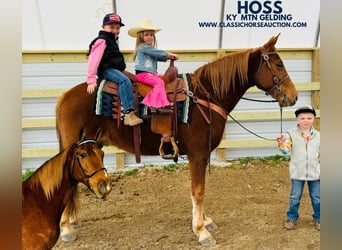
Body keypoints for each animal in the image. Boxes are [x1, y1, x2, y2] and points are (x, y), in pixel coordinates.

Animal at [55, 34, 296, 246]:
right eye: (278, 64)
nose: (293, 96)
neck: (206, 97)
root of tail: (65, 97)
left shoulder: (200, 156)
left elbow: (197, 191)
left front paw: (204, 222)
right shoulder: (198, 155)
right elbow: (198, 191)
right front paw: (202, 232)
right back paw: (66, 229)